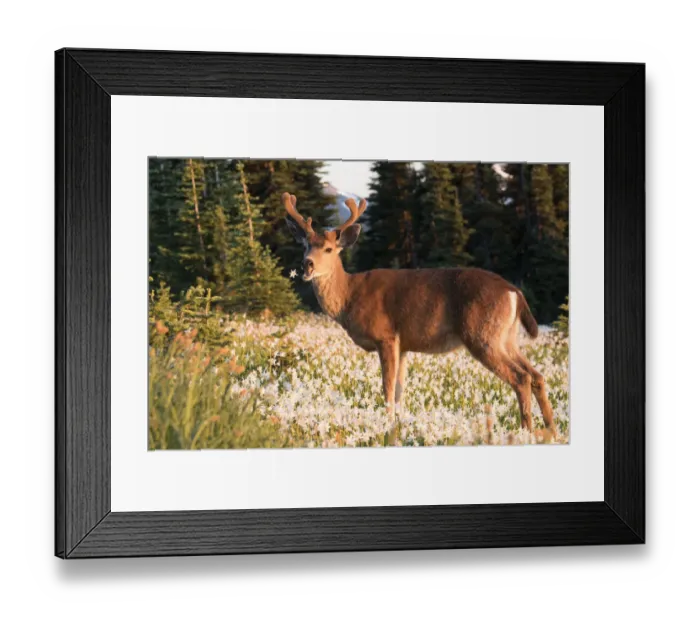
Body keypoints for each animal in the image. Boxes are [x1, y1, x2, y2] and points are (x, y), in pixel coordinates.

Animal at [282, 192, 556, 435]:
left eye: (329, 249)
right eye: (306, 245)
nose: (307, 264)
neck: (349, 295)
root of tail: (514, 291)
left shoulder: (386, 336)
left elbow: (387, 388)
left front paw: (387, 425)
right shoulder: (404, 345)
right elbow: (400, 390)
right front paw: (399, 425)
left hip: (482, 335)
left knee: (521, 378)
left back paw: (526, 430)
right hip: (507, 337)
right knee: (537, 376)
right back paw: (551, 430)